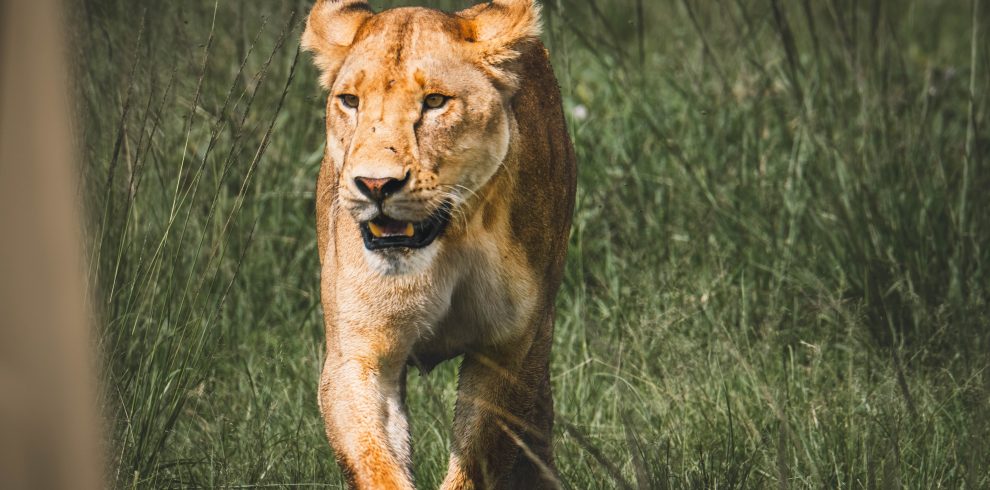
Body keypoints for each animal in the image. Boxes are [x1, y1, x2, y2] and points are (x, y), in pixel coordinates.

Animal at [301, 1, 576, 488]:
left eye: (434, 102)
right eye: (350, 101)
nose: (375, 185)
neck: (444, 249)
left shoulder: (507, 351)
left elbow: (479, 457)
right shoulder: (357, 356)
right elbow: (376, 463)